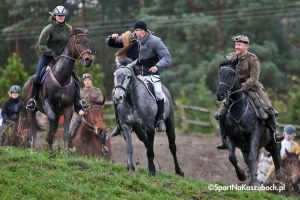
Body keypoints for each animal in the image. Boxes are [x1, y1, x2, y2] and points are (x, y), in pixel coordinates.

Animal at [216, 57, 282, 186]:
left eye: (233, 73)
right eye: (220, 73)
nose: (220, 95)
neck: (238, 109)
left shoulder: (253, 135)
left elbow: (252, 157)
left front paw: (254, 182)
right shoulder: (231, 138)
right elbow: (232, 157)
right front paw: (242, 175)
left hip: (273, 144)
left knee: (276, 160)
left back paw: (277, 179)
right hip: (244, 148)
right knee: (249, 160)